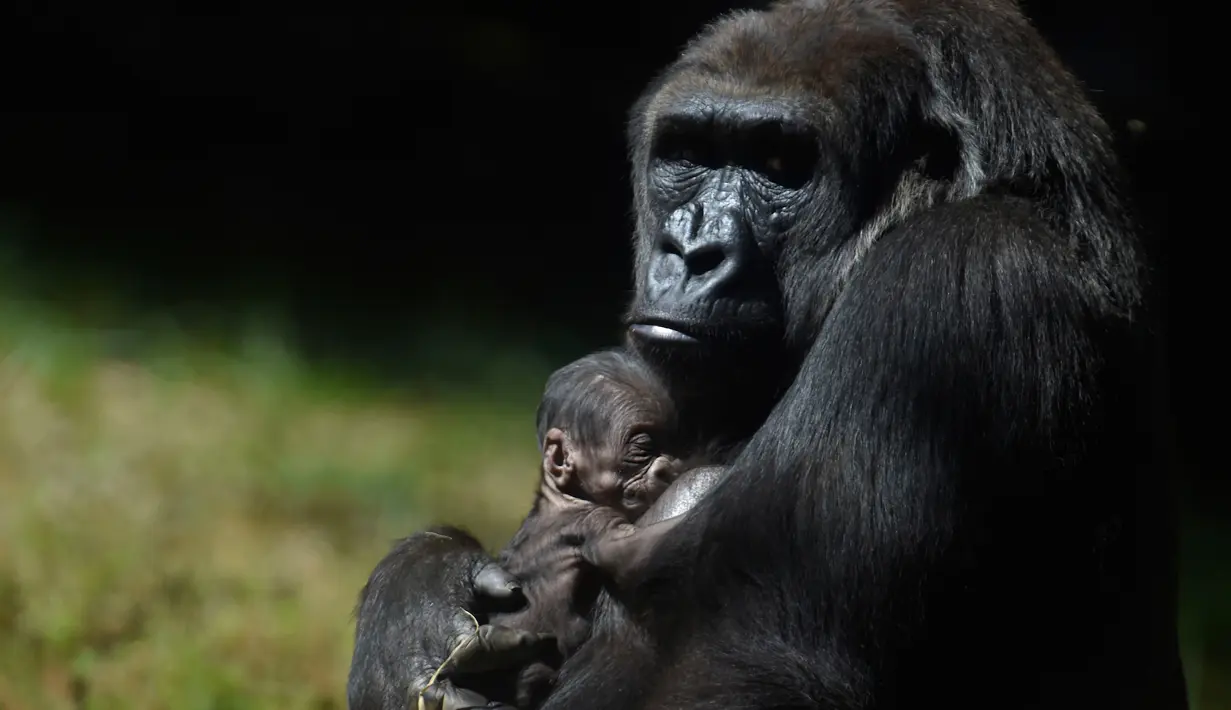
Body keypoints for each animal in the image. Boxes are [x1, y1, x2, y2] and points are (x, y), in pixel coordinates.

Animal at [347, 1, 1181, 708]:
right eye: (688, 152)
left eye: (780, 165)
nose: (691, 251)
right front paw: (420, 601)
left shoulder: (960, 275)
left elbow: (743, 659)